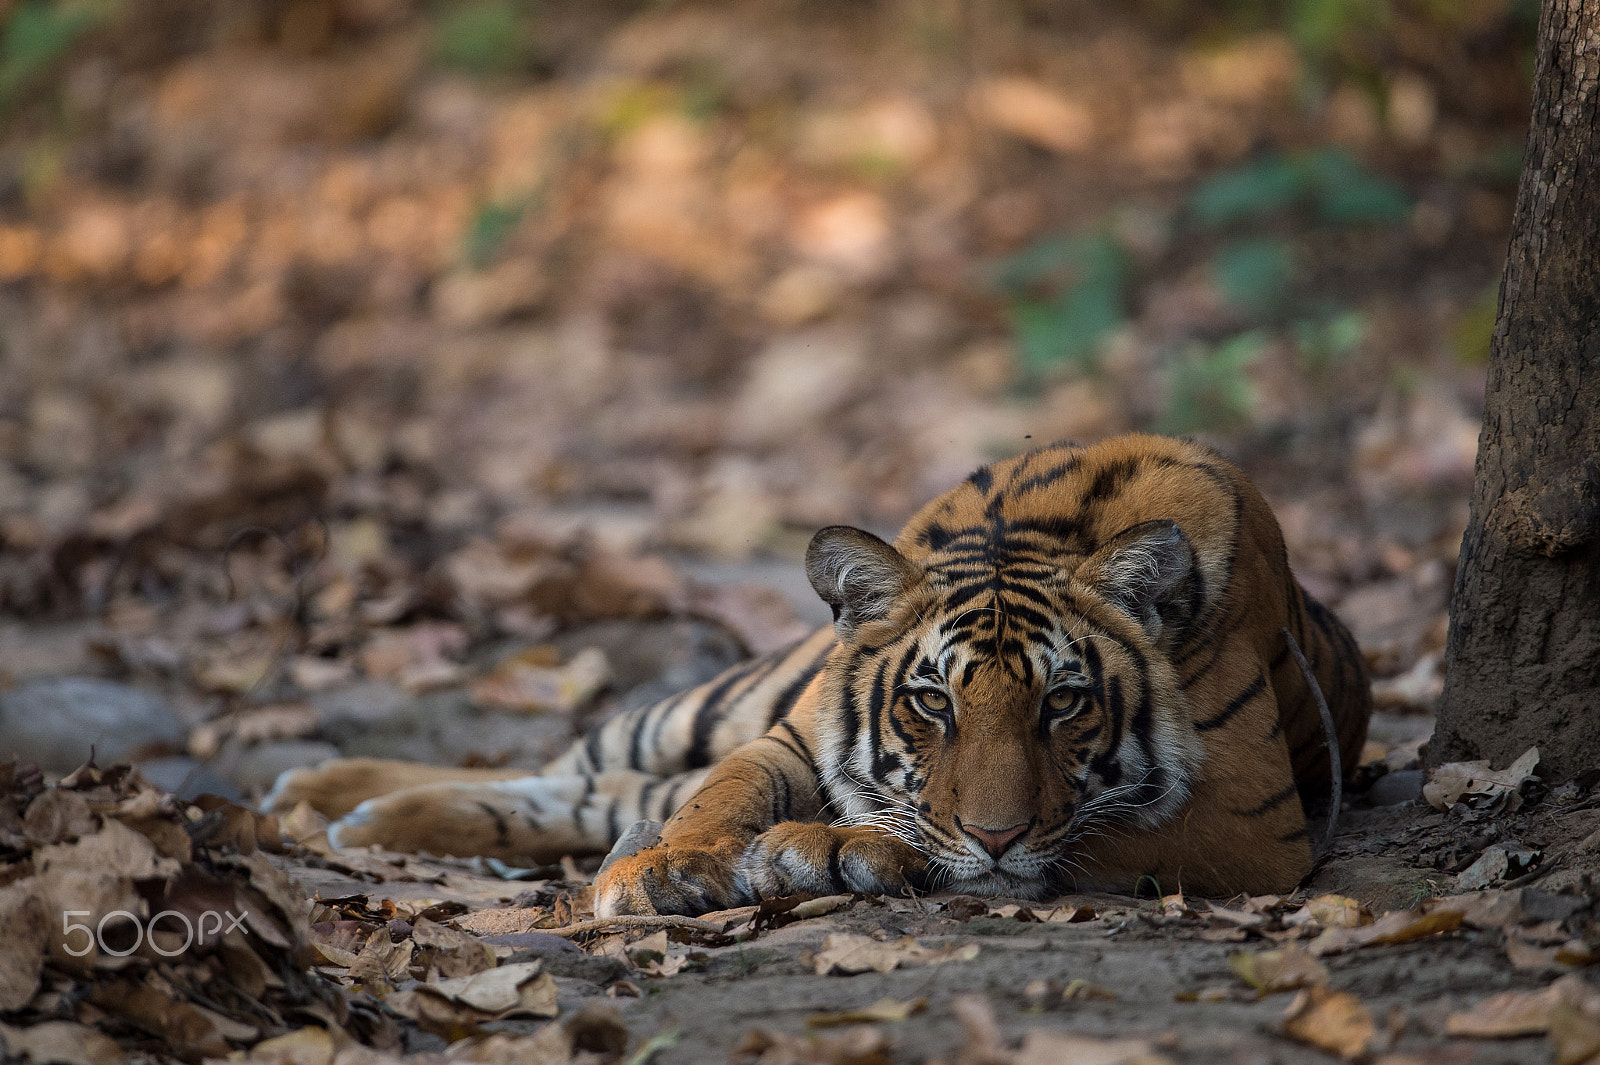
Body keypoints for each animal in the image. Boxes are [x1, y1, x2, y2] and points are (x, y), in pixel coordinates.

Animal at [268, 431, 1369, 914]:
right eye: (931, 703)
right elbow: (719, 794)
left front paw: (826, 851)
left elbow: (1073, 839)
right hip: (717, 699)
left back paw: (354, 814)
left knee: (594, 787)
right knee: (584, 761)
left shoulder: (1250, 820)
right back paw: (326, 789)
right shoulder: (788, 733)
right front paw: (671, 868)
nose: (998, 829)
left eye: (1064, 705)